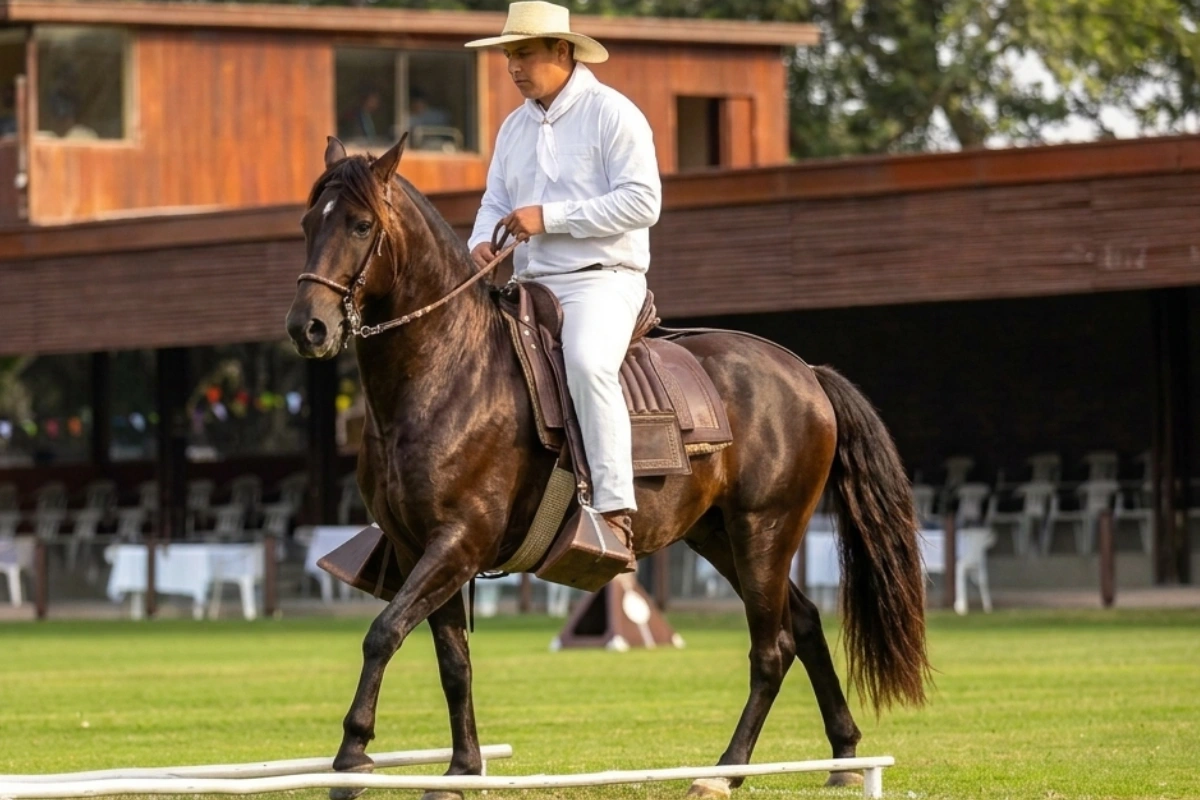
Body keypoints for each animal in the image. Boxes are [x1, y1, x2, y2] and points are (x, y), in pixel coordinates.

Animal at [285, 135, 930, 800]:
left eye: (361, 225)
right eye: (308, 224)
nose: (308, 327)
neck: (448, 372)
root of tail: (806, 373)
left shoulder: (458, 542)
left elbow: (383, 633)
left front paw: (352, 759)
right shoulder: (422, 549)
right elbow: (452, 659)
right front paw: (461, 770)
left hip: (765, 532)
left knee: (771, 649)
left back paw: (724, 772)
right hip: (719, 537)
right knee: (800, 624)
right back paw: (844, 756)